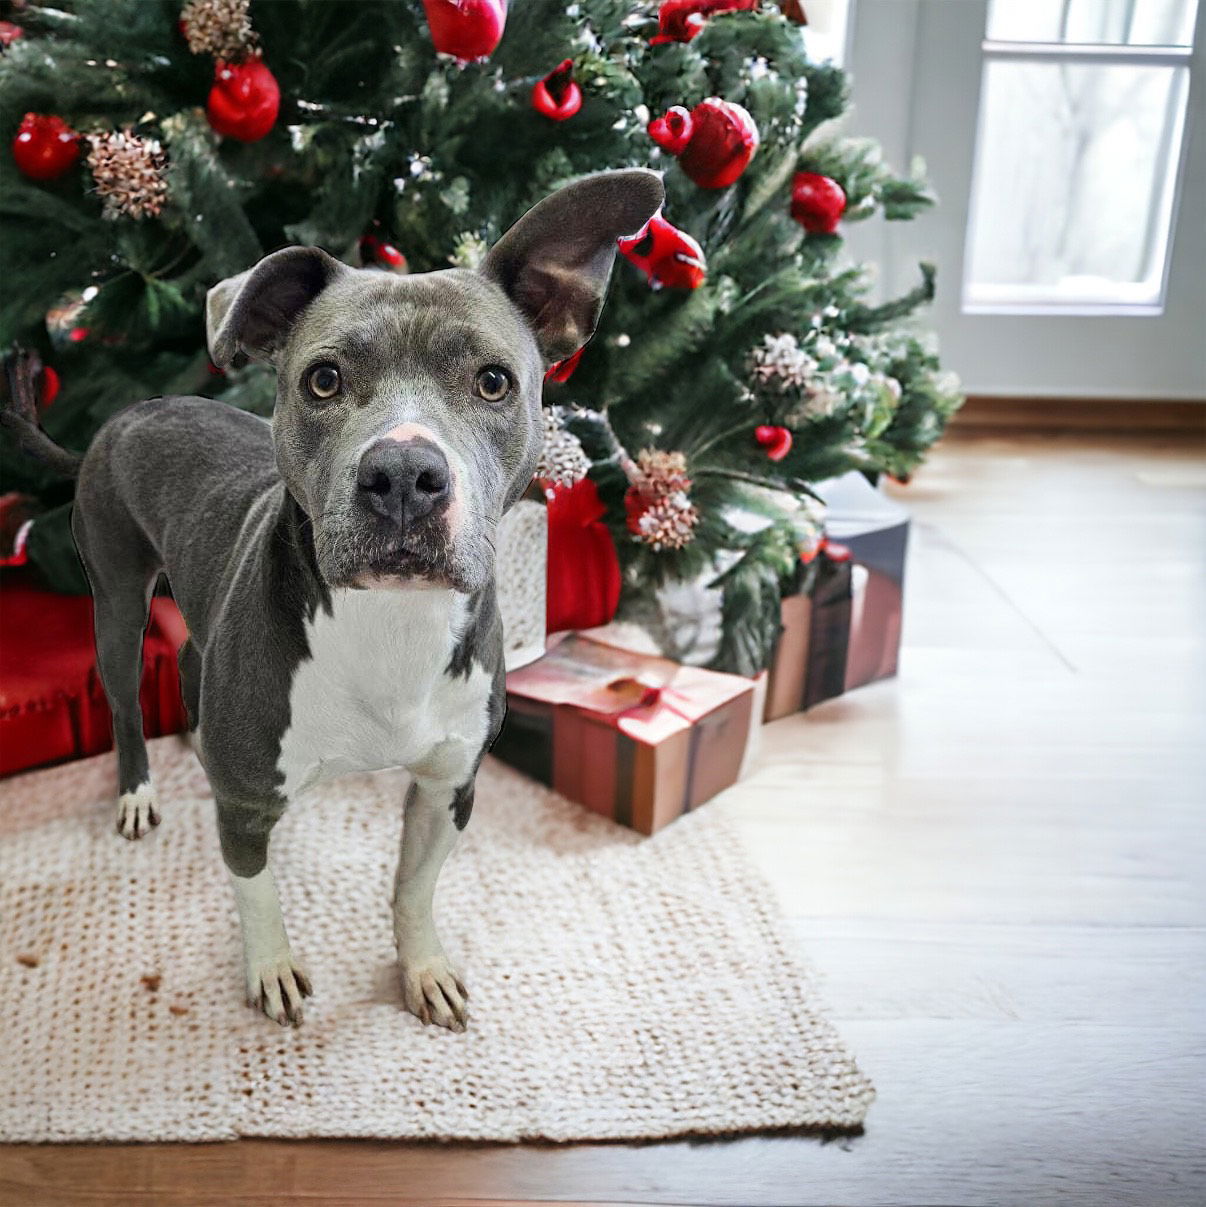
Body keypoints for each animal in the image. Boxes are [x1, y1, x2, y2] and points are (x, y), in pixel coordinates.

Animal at [0, 167, 666, 1028]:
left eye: (493, 381)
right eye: (323, 378)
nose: (405, 475)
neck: (392, 625)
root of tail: (126, 414)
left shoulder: (450, 785)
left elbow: (414, 888)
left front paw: (423, 968)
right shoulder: (246, 808)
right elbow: (257, 893)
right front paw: (273, 969)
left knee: (189, 657)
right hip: (115, 599)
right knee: (122, 700)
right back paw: (139, 789)